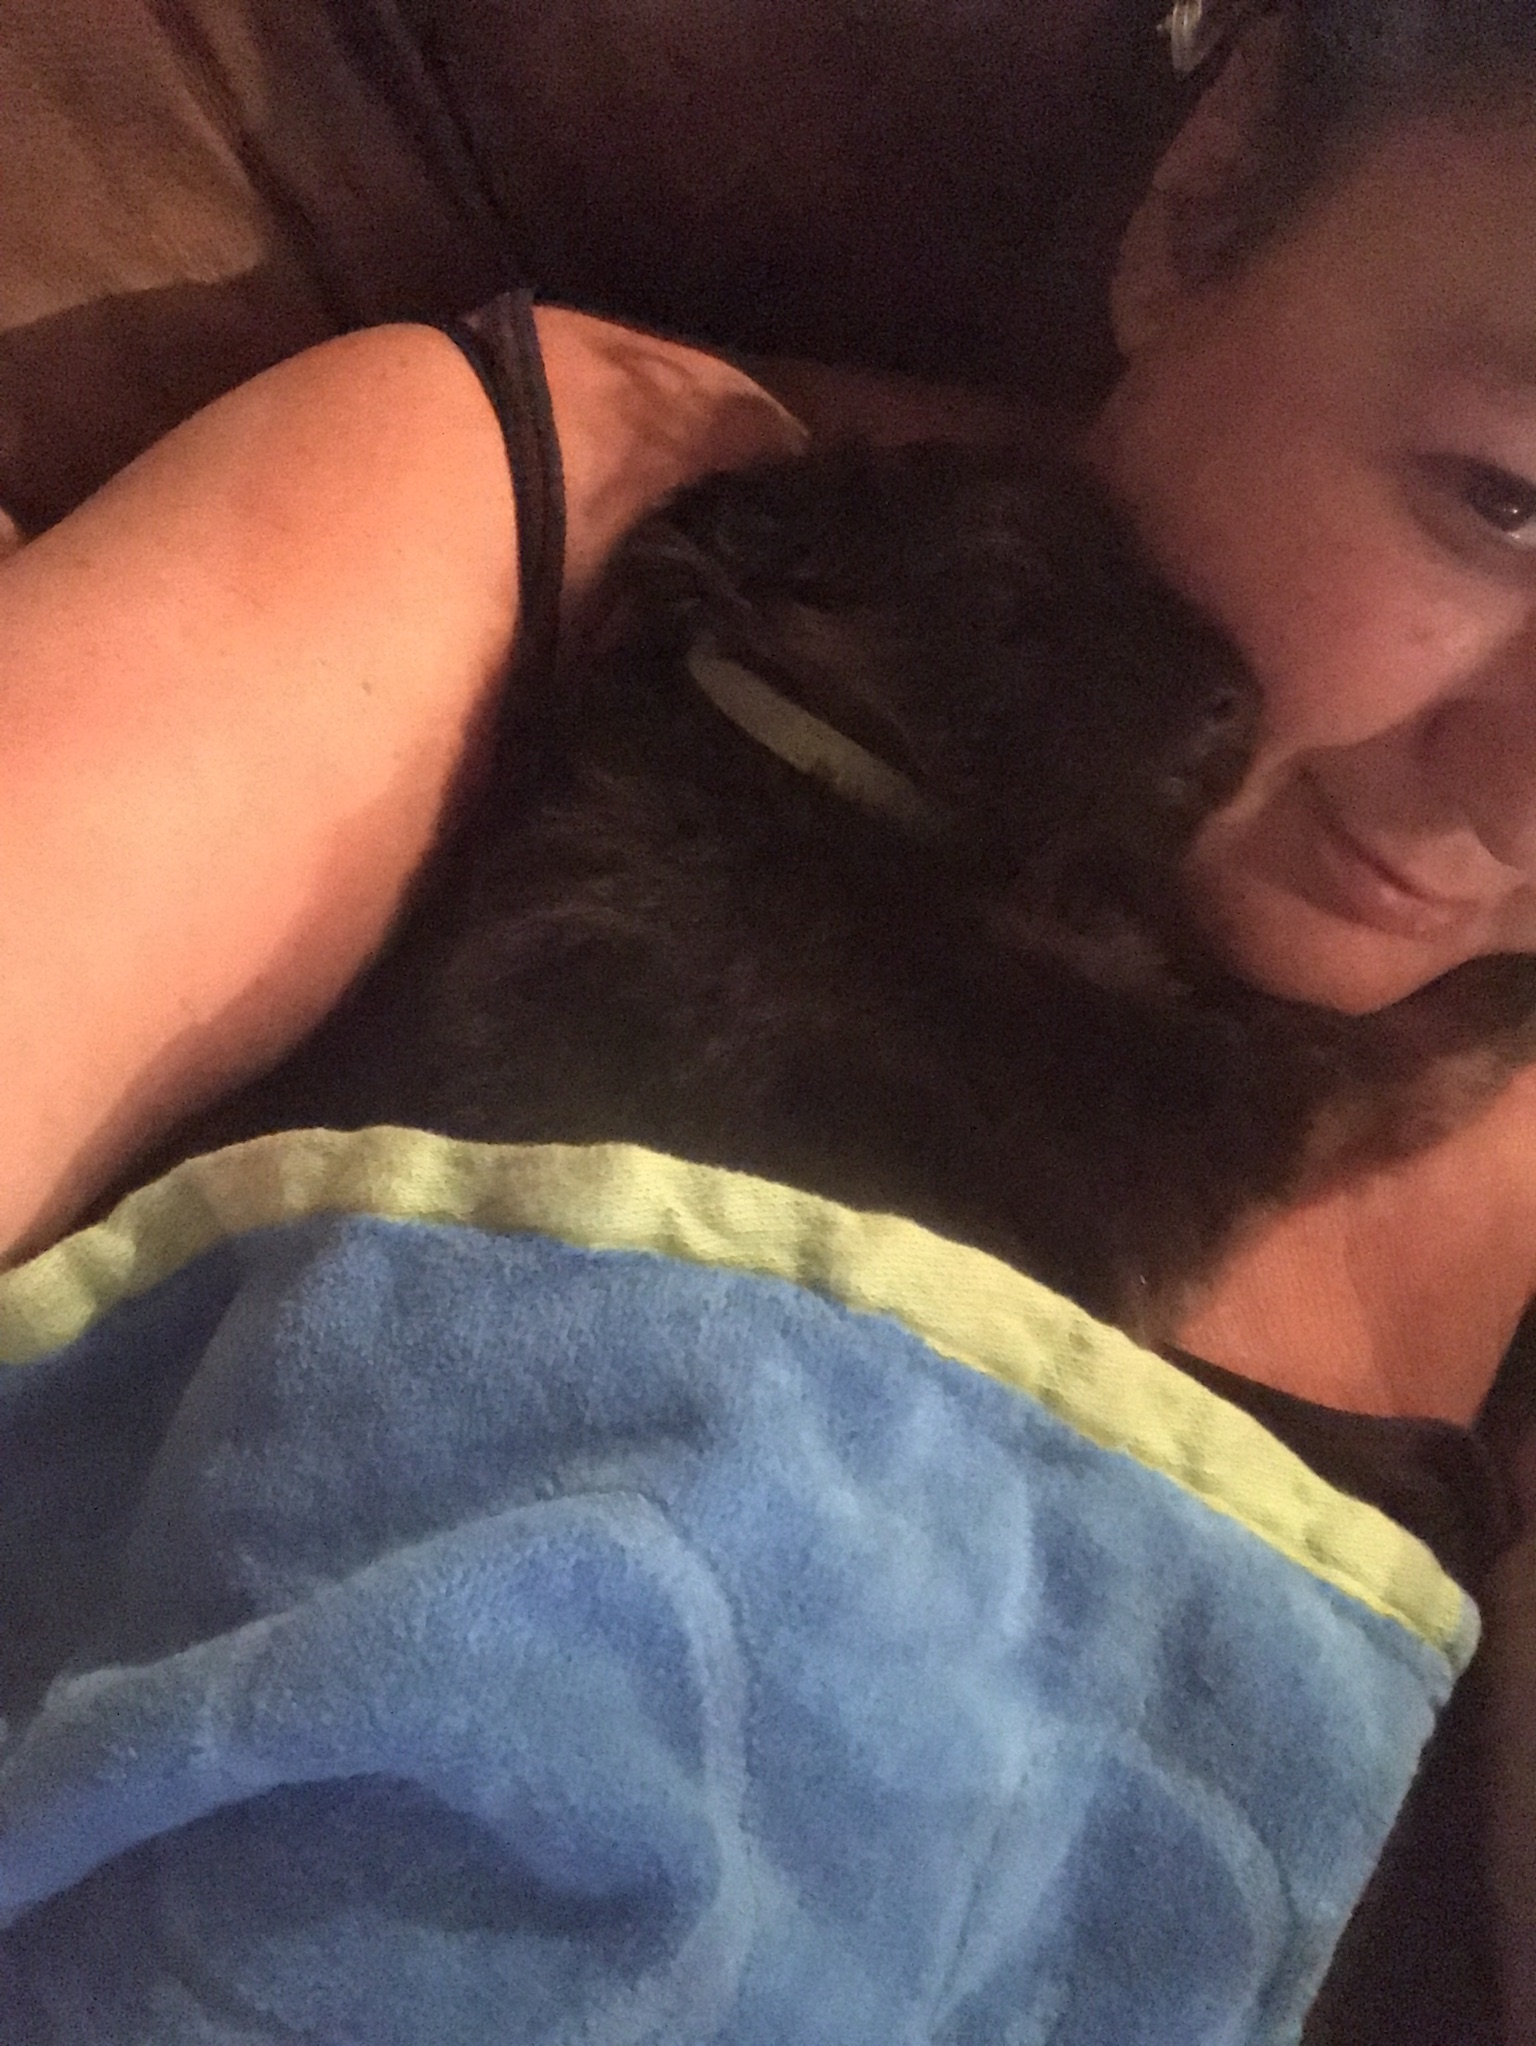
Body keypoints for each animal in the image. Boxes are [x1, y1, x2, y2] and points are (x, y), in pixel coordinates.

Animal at [161, 439, 1536, 1342]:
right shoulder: (1201, 1120)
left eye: (1137, 555)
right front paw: (1506, 975)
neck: (823, 760)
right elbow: (1389, 1042)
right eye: (1005, 590)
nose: (1239, 699)